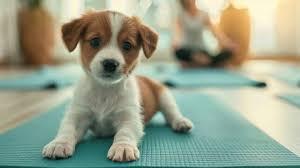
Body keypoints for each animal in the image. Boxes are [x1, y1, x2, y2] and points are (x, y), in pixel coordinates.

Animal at [42, 10, 193, 161]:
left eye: (127, 45)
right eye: (95, 41)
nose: (110, 63)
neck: (105, 90)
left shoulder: (129, 117)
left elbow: (124, 133)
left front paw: (123, 147)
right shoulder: (78, 114)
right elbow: (67, 129)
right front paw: (59, 144)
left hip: (164, 96)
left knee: (172, 112)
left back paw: (181, 122)